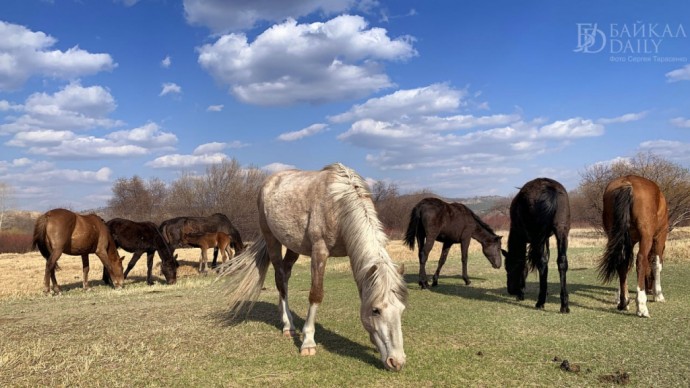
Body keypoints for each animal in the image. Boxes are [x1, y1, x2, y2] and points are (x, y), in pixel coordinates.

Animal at [218, 162, 406, 372]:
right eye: (376, 310)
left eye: (401, 310)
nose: (396, 361)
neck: (338, 204)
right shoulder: (319, 252)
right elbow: (315, 294)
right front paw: (308, 342)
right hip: (272, 239)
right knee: (280, 278)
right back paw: (288, 326)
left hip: (293, 246)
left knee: (285, 274)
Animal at [500, 177, 568, 314]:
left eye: (508, 268)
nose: (511, 290)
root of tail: (550, 188)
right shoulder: (545, 238)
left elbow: (524, 264)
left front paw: (521, 293)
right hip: (561, 230)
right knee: (562, 262)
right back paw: (564, 305)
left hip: (538, 236)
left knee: (542, 263)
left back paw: (540, 302)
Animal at [596, 174, 668, 316]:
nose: (649, 289)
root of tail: (627, 183)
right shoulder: (659, 237)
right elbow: (656, 264)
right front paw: (658, 295)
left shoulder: (628, 241)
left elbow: (625, 267)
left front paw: (621, 296)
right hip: (646, 237)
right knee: (640, 260)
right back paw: (641, 306)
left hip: (615, 236)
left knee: (620, 263)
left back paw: (623, 302)